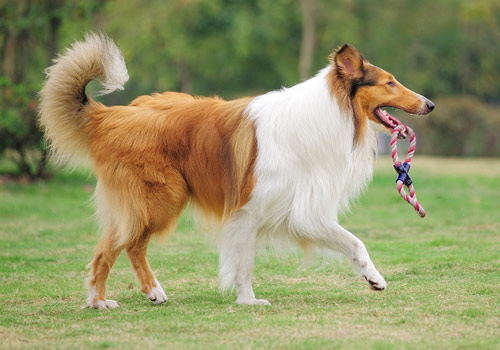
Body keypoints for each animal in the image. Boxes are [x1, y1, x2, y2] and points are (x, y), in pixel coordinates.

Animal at [39, 32, 434, 306]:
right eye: (389, 82)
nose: (430, 104)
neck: (329, 114)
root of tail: (112, 116)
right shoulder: (248, 211)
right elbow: (244, 263)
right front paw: (248, 301)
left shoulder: (301, 212)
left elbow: (354, 242)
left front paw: (374, 278)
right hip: (160, 199)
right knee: (115, 249)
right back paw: (107, 300)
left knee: (124, 246)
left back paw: (140, 294)